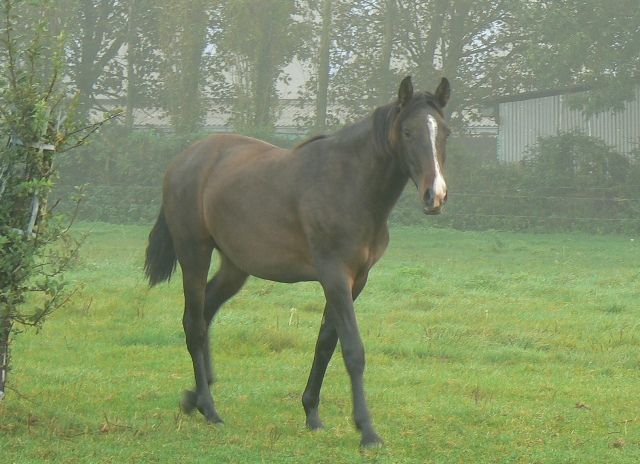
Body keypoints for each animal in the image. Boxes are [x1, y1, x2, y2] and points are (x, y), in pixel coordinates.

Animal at [144, 76, 450, 446]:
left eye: (445, 132)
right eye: (407, 131)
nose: (435, 195)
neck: (349, 185)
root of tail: (183, 160)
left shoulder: (356, 280)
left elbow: (326, 343)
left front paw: (312, 413)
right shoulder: (334, 277)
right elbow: (352, 349)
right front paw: (366, 430)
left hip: (235, 266)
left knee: (206, 315)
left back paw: (194, 398)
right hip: (194, 253)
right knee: (193, 323)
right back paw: (209, 407)